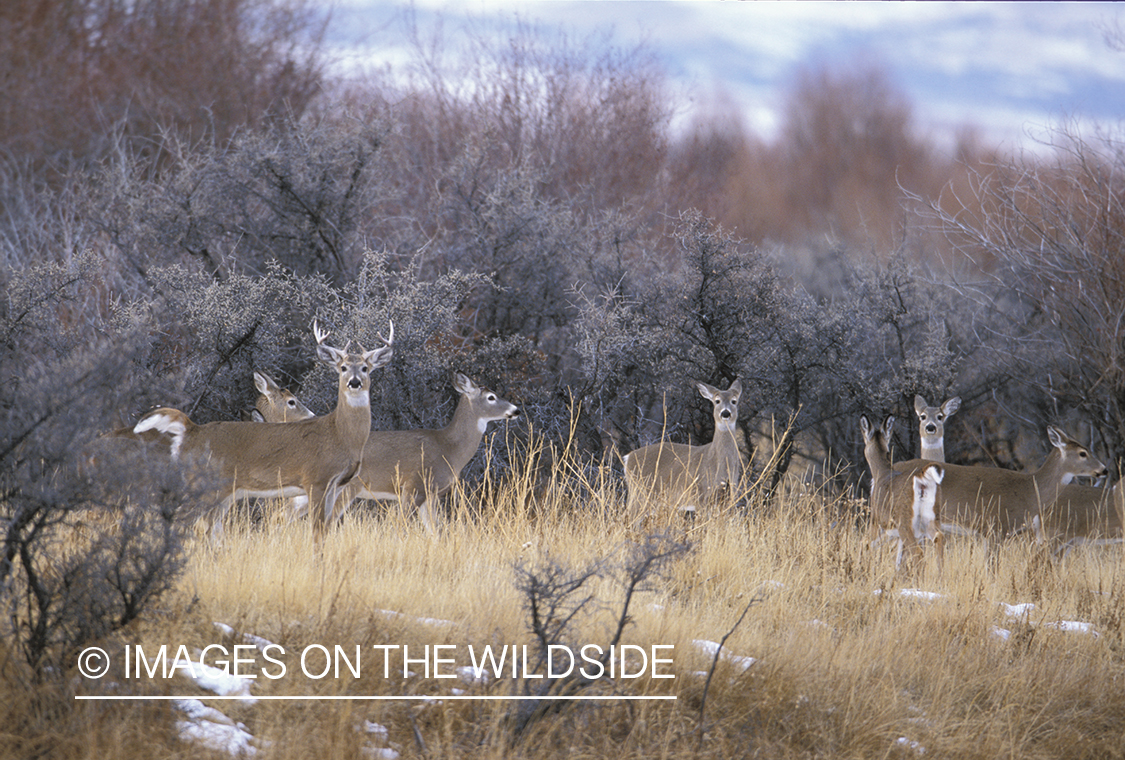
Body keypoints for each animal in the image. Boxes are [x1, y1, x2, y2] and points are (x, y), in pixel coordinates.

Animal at [131, 323, 393, 537]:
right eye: (343, 367)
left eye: (366, 368)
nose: (354, 382)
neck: (339, 434)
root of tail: (190, 430)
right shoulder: (315, 480)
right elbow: (316, 532)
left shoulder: (334, 487)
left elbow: (324, 532)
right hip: (201, 484)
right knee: (182, 522)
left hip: (222, 492)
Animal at [621, 377, 742, 519]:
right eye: (717, 401)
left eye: (734, 401)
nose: (725, 413)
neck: (719, 463)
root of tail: (628, 458)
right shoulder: (700, 496)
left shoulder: (730, 496)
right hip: (640, 493)